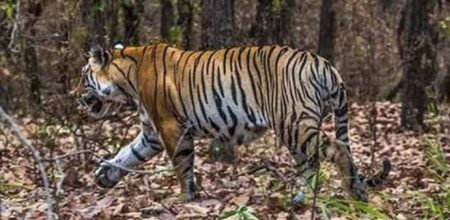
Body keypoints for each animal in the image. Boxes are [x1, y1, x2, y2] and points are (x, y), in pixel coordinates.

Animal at [77, 43, 390, 203]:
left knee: (337, 149)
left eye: (83, 76)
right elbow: (127, 154)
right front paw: (104, 175)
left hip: (294, 123)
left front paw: (185, 199)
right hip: (295, 128)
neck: (125, 80)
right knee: (312, 164)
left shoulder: (170, 127)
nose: (77, 98)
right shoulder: (151, 133)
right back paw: (303, 199)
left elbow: (182, 165)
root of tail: (324, 64)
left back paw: (353, 193)